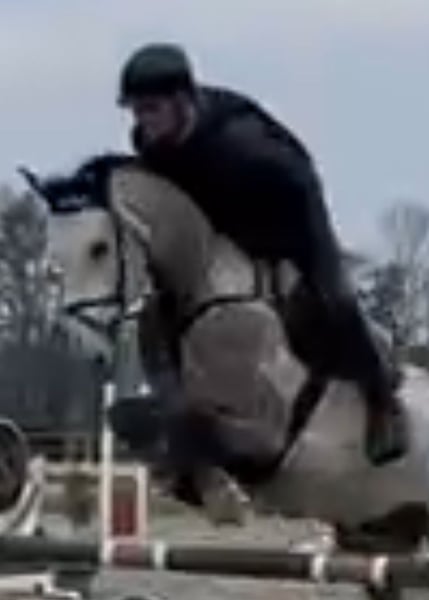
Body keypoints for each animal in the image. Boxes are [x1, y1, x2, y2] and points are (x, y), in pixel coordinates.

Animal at [24, 154, 429, 600]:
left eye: (98, 248)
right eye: (54, 258)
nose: (84, 349)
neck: (205, 301)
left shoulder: (267, 434)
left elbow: (189, 421)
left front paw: (226, 497)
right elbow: (130, 415)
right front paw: (197, 487)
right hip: (382, 533)